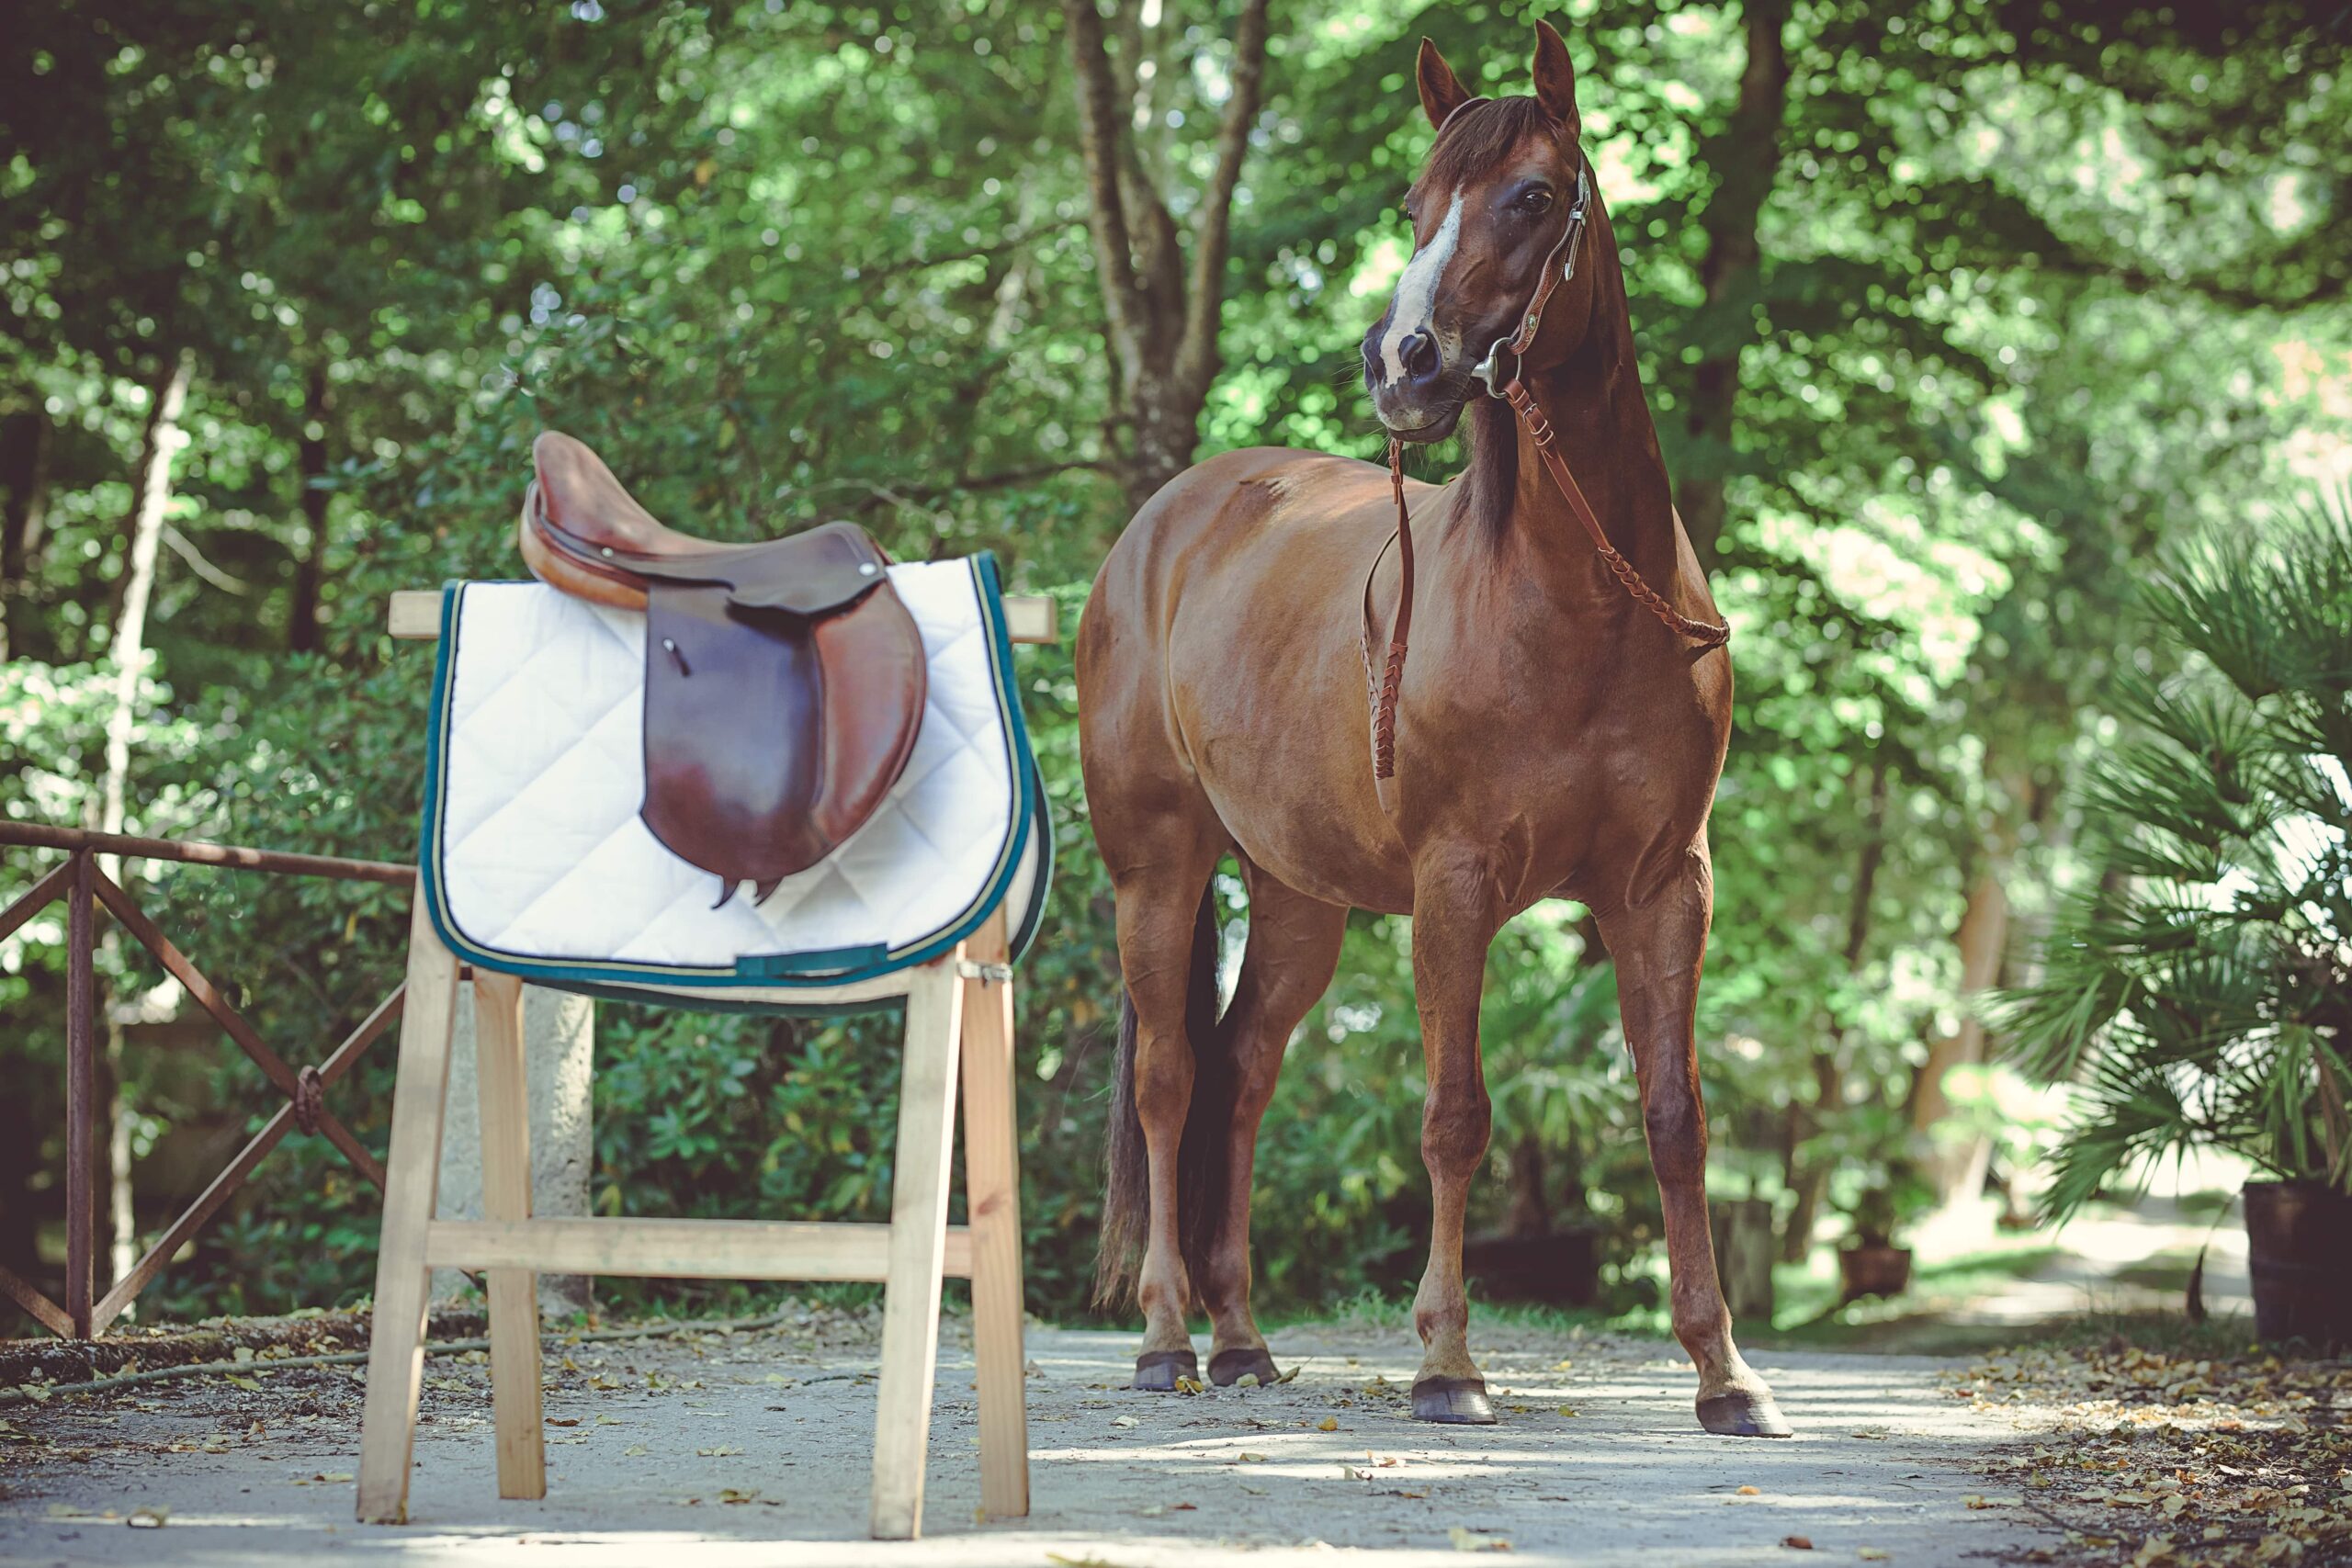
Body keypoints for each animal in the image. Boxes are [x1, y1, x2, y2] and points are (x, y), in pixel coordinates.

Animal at [1074, 19, 1788, 1437]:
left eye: (1532, 196)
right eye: (1413, 204)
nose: (1400, 361)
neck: (1575, 605)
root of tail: (1157, 530)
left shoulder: (1663, 888)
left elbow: (1673, 1113)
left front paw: (1723, 1369)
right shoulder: (1455, 888)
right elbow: (1455, 1116)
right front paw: (1447, 1360)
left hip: (1296, 897)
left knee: (1242, 1072)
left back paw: (1241, 1341)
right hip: (1159, 873)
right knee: (1173, 1080)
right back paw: (1166, 1338)